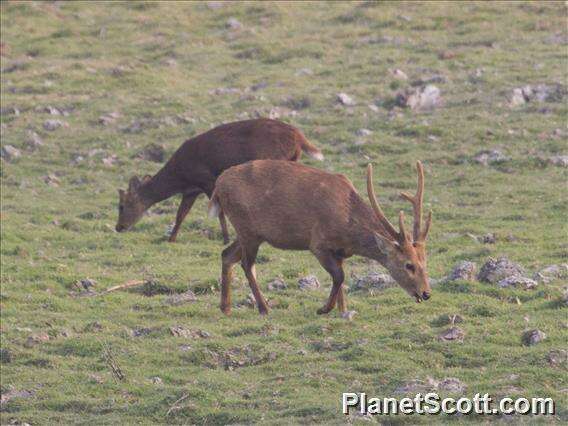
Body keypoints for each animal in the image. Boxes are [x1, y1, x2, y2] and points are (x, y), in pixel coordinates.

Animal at [209, 158, 434, 314]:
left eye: (425, 261)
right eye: (408, 265)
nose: (426, 293)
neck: (348, 229)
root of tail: (218, 186)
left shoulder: (341, 251)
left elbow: (341, 278)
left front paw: (343, 310)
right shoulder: (318, 242)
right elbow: (339, 276)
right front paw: (324, 309)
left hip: (250, 233)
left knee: (226, 254)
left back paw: (225, 307)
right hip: (246, 228)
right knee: (247, 264)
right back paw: (264, 307)